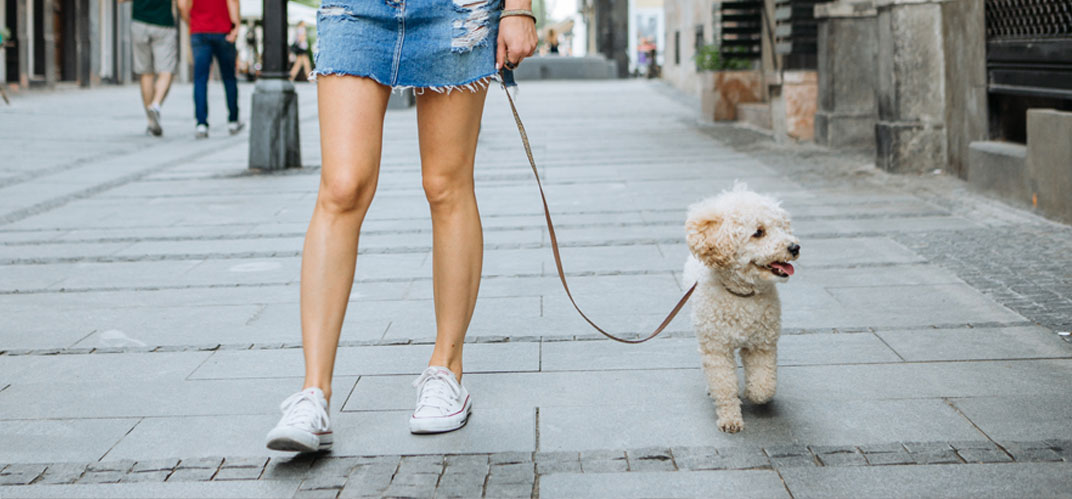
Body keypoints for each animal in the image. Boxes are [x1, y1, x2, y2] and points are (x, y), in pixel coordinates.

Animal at [686, 183, 797, 431]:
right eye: (758, 232)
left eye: (781, 227)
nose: (794, 247)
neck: (741, 295)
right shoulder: (717, 348)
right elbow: (724, 385)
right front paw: (730, 418)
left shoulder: (761, 344)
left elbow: (764, 386)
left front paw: (751, 393)